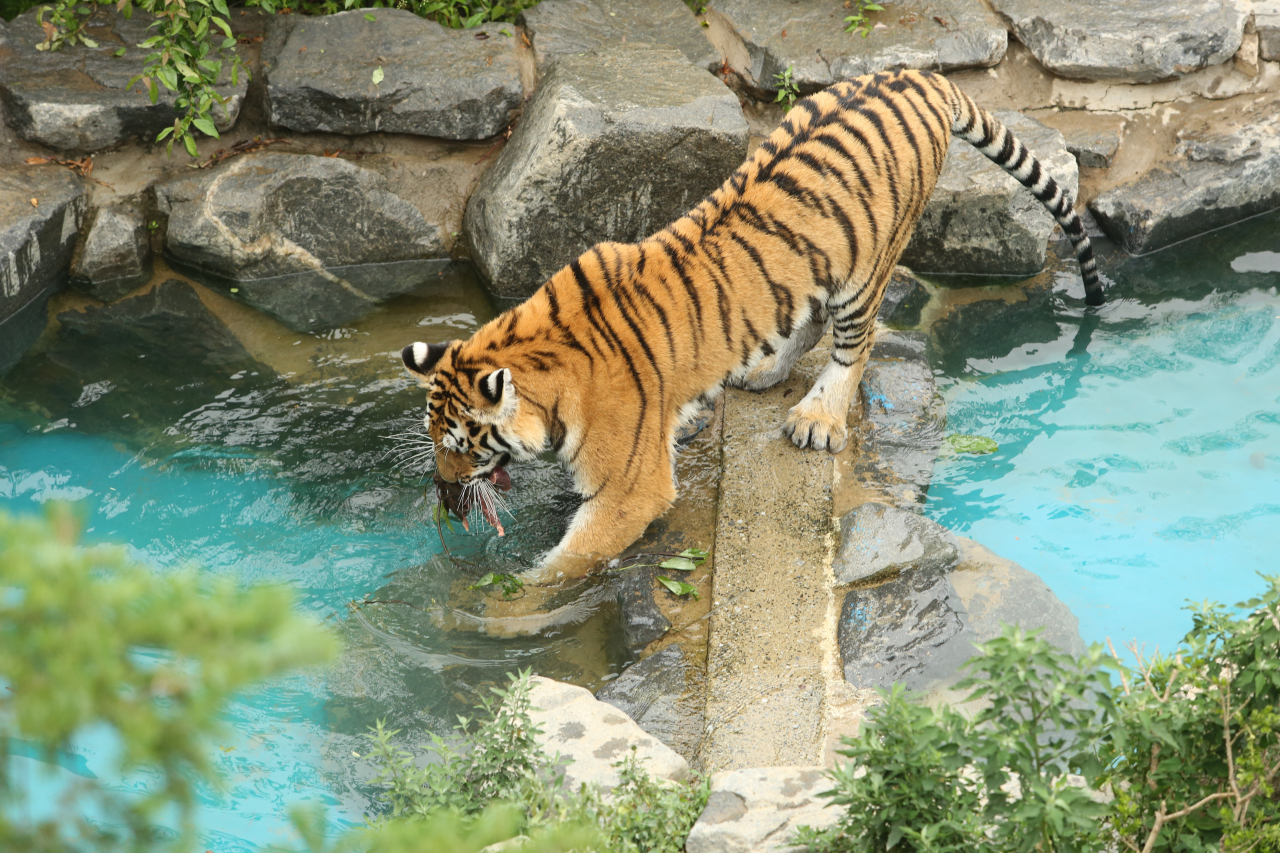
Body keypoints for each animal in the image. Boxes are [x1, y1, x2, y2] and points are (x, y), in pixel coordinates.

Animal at [399, 68, 1100, 571]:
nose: (442, 495)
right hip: (814, 262)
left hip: (868, 265)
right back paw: (761, 372)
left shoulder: (630, 489)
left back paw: (818, 418)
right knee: (807, 321)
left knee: (856, 343)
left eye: (463, 447)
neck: (542, 352)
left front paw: (503, 612)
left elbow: (564, 562)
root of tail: (918, 74)